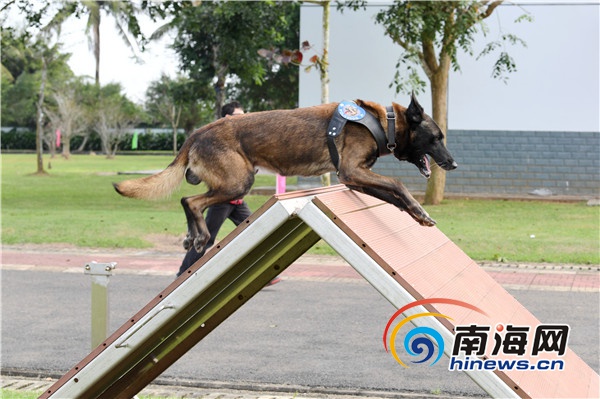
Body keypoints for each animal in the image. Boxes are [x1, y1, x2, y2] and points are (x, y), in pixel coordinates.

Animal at [115, 95, 458, 252]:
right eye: (437, 138)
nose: (453, 163)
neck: (383, 122)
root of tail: (198, 132)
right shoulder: (352, 170)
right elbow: (398, 184)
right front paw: (420, 211)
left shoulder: (354, 178)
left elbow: (393, 196)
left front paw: (417, 214)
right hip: (239, 182)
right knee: (191, 201)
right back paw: (199, 236)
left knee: (188, 201)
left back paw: (191, 237)